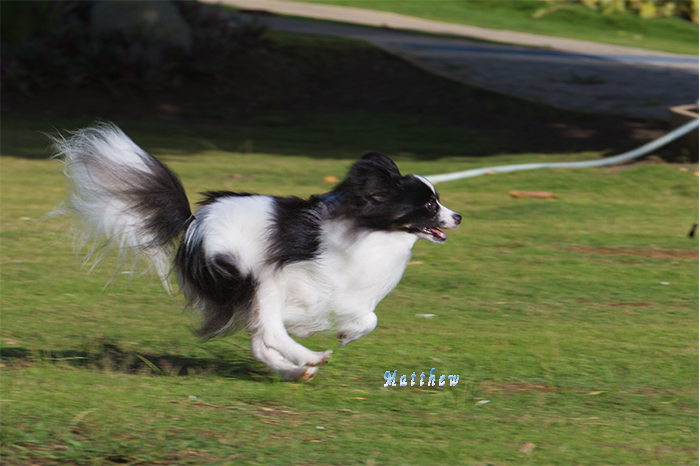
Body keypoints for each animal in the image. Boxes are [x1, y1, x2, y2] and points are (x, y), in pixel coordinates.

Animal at [53, 124, 460, 382]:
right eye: (428, 205)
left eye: (438, 201)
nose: (457, 217)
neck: (372, 230)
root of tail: (192, 221)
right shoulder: (301, 279)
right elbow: (354, 316)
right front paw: (336, 335)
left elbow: (367, 317)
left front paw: (345, 333)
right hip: (257, 280)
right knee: (271, 335)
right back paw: (308, 358)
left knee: (260, 345)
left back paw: (294, 371)